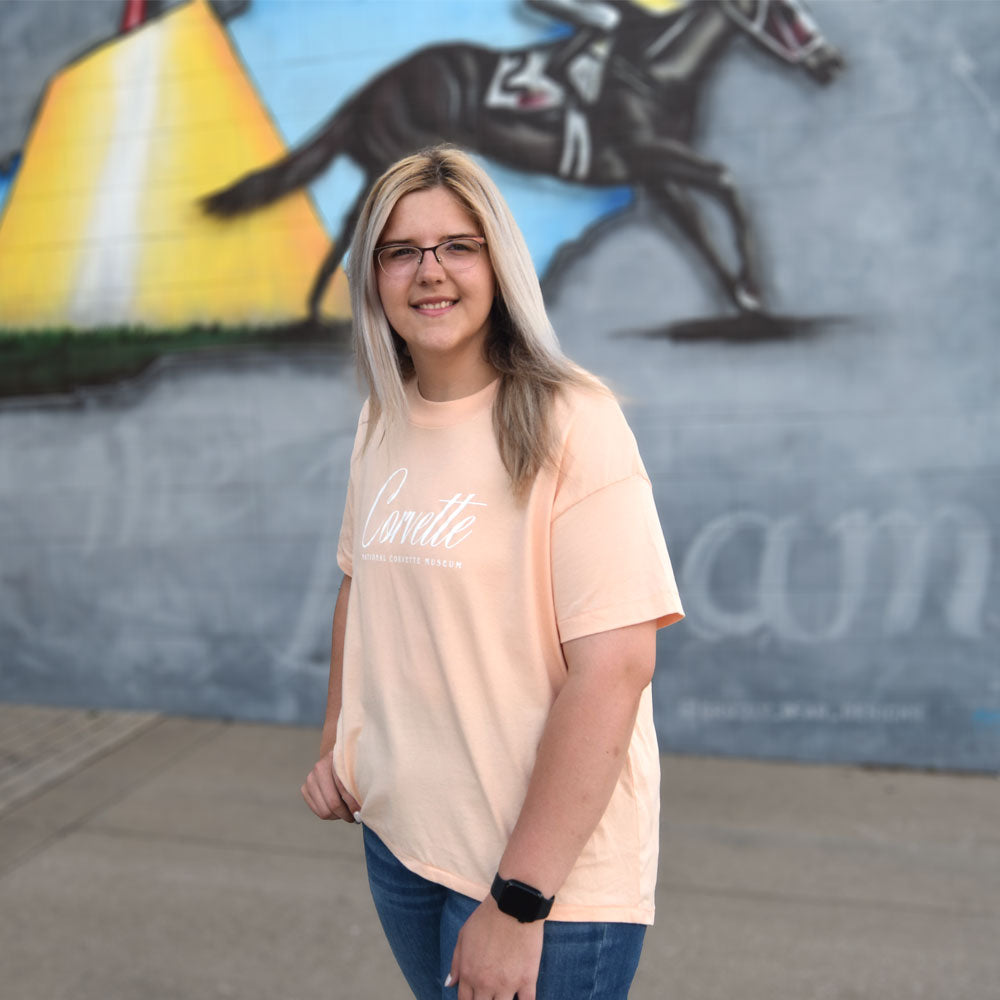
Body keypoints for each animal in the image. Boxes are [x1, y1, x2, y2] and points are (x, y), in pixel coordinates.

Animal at [205, 0, 844, 318]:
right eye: (784, 10)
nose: (832, 62)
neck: (657, 69)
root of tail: (372, 88)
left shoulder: (651, 170)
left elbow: (696, 224)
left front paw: (743, 295)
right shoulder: (646, 151)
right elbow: (726, 180)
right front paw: (752, 289)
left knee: (350, 224)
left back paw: (316, 308)